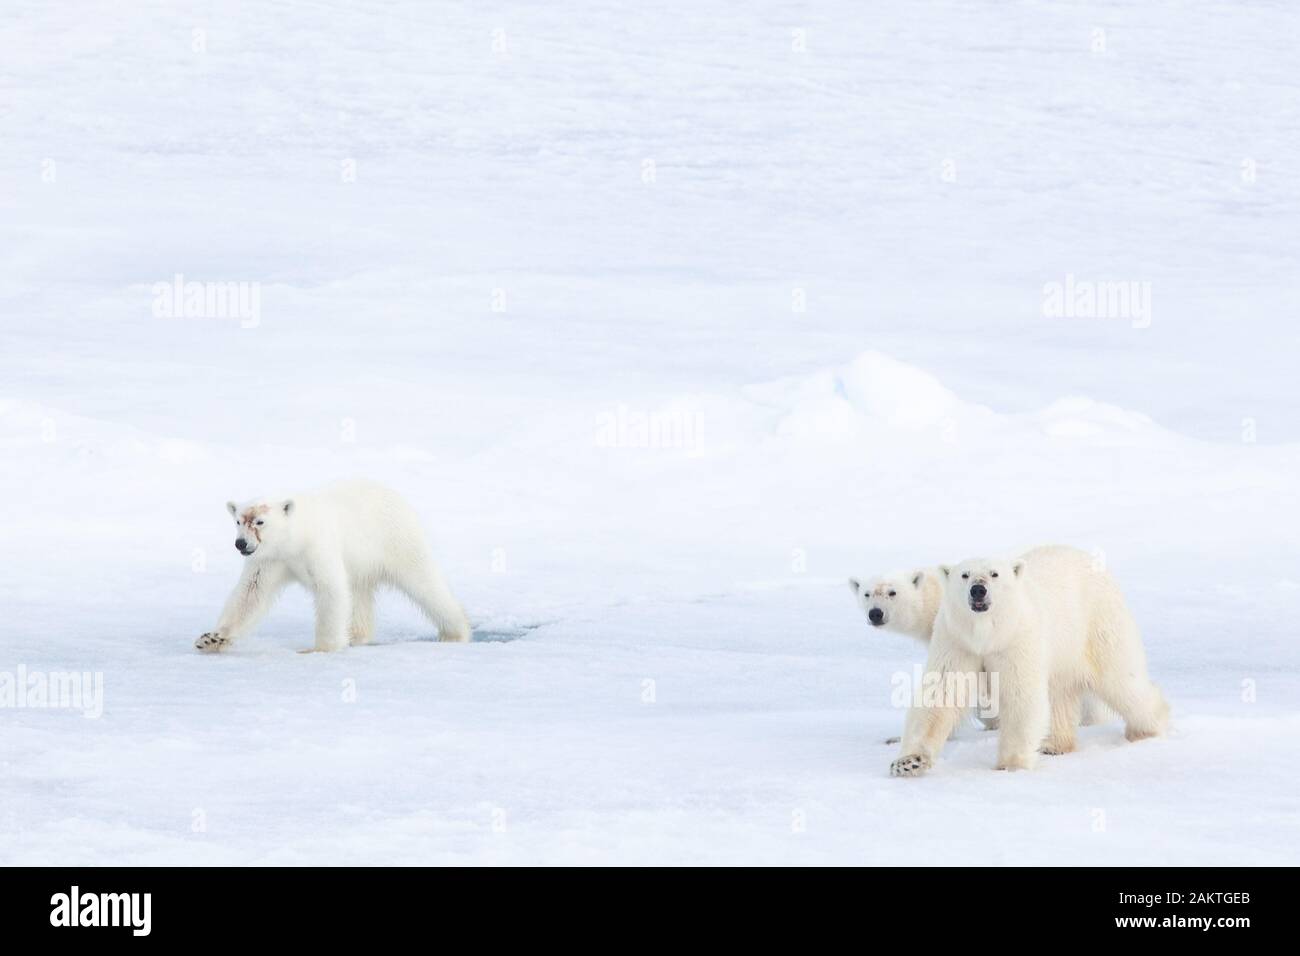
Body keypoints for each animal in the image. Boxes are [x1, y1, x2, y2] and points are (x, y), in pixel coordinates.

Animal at [195, 479, 471, 653]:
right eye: (238, 520)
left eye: (260, 521)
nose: (240, 544)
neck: (295, 537)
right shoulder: (270, 559)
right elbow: (250, 595)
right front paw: (211, 639)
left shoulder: (317, 547)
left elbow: (331, 589)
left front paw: (319, 649)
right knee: (359, 594)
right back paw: (357, 635)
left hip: (396, 540)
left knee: (424, 583)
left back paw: (456, 632)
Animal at [889, 545, 1168, 776]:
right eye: (964, 575)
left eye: (994, 574)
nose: (978, 590)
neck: (988, 635)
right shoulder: (956, 640)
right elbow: (941, 691)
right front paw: (908, 762)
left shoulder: (1017, 639)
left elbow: (1020, 693)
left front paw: (1010, 765)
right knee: (1060, 693)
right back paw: (1055, 744)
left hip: (1098, 625)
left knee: (1122, 681)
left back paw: (1148, 727)